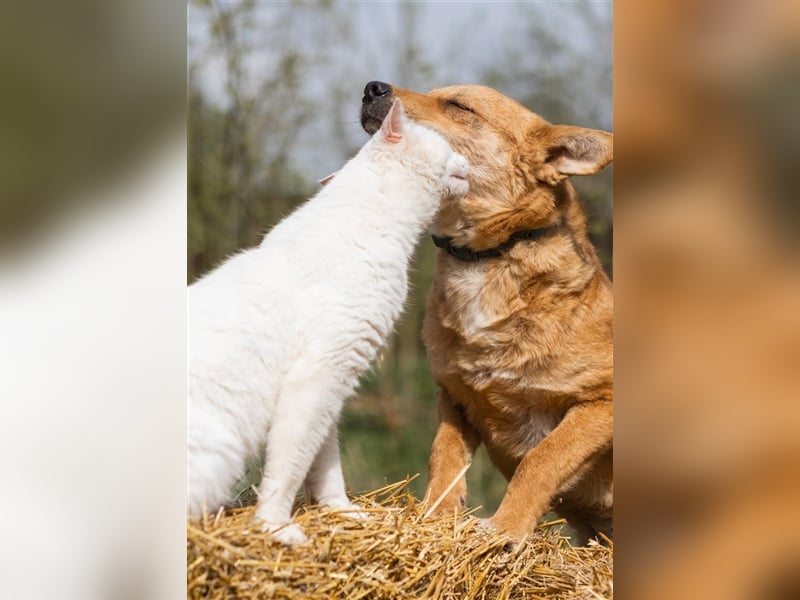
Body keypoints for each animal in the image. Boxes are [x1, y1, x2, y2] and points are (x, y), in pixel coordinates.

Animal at [188, 102, 468, 544]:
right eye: (446, 144)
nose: (468, 162)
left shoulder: (333, 387)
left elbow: (323, 462)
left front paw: (343, 512)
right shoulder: (319, 373)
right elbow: (289, 462)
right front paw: (275, 526)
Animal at [360, 81, 612, 544]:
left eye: (460, 106)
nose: (372, 87)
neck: (486, 258)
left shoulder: (601, 402)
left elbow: (542, 459)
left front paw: (505, 528)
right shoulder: (454, 396)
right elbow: (442, 456)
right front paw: (435, 517)